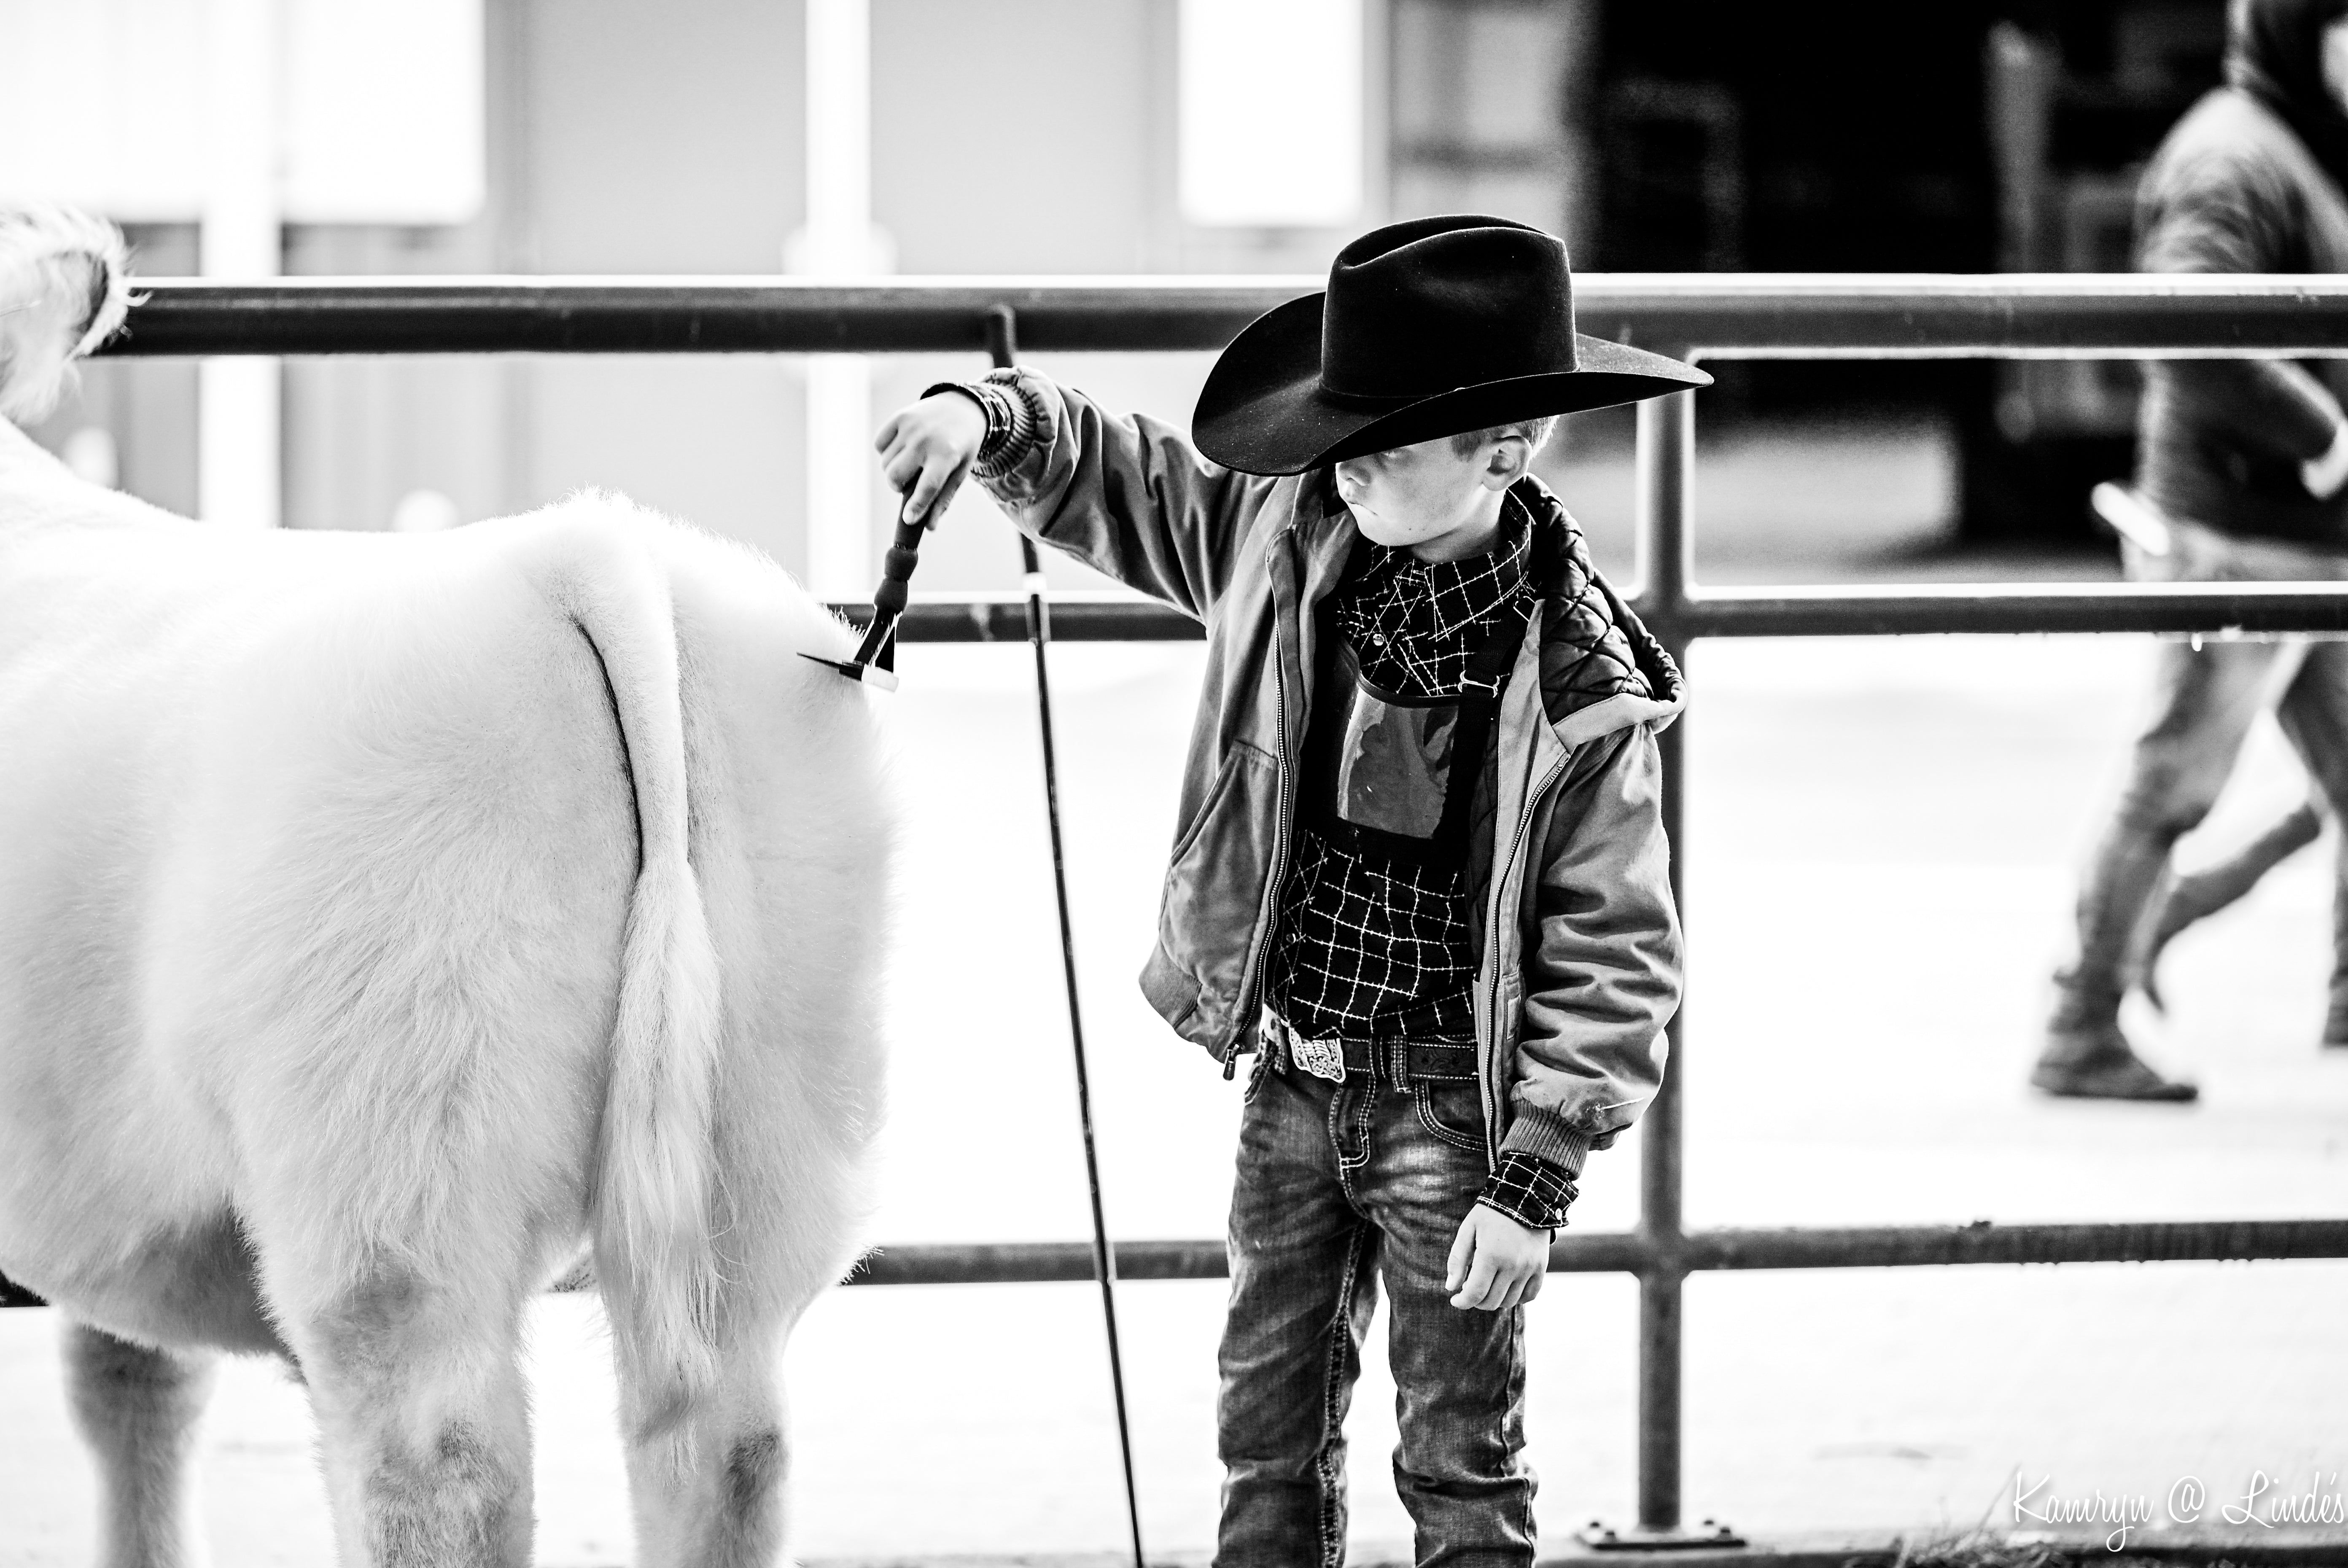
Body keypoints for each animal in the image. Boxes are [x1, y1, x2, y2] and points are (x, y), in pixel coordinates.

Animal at [0, 206, 896, 1566]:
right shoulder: (128, 1186)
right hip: (768, 1140)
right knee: (730, 1454)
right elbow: (135, 1391)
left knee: (442, 1472)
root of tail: (578, 548)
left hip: (393, 1192)